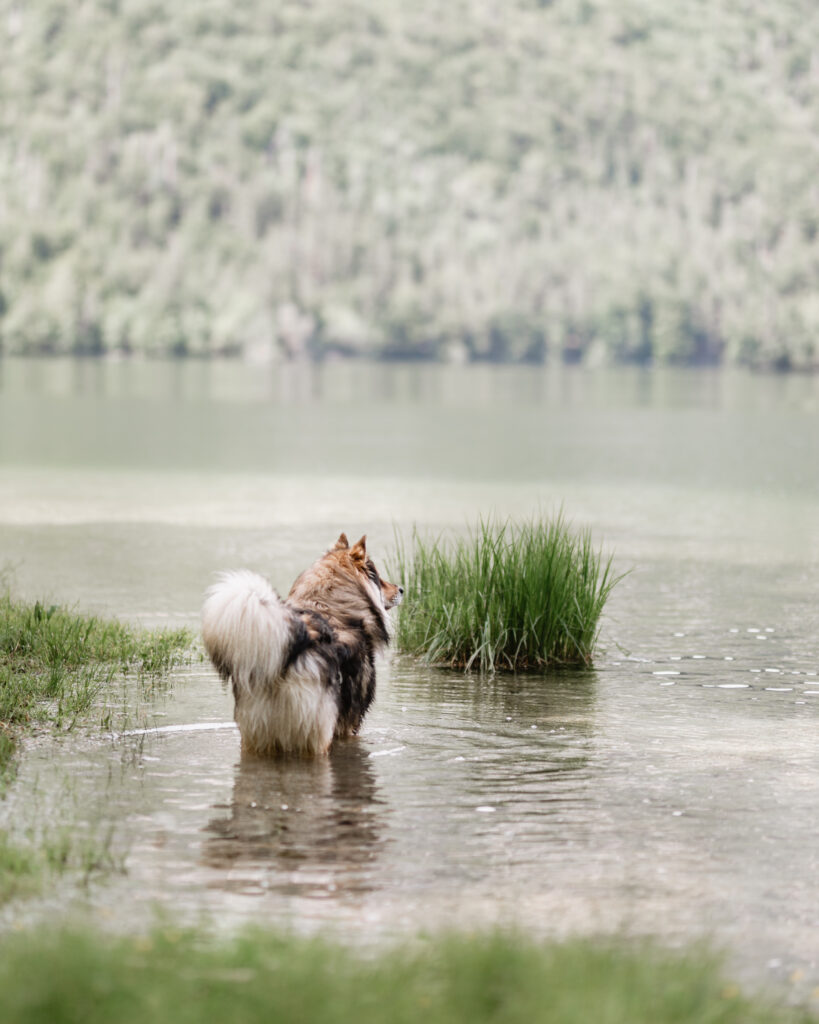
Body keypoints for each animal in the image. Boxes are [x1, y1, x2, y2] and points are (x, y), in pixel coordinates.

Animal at [199, 532, 401, 757]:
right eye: (378, 578)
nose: (401, 589)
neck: (329, 604)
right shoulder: (349, 724)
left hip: (255, 735)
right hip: (316, 735)